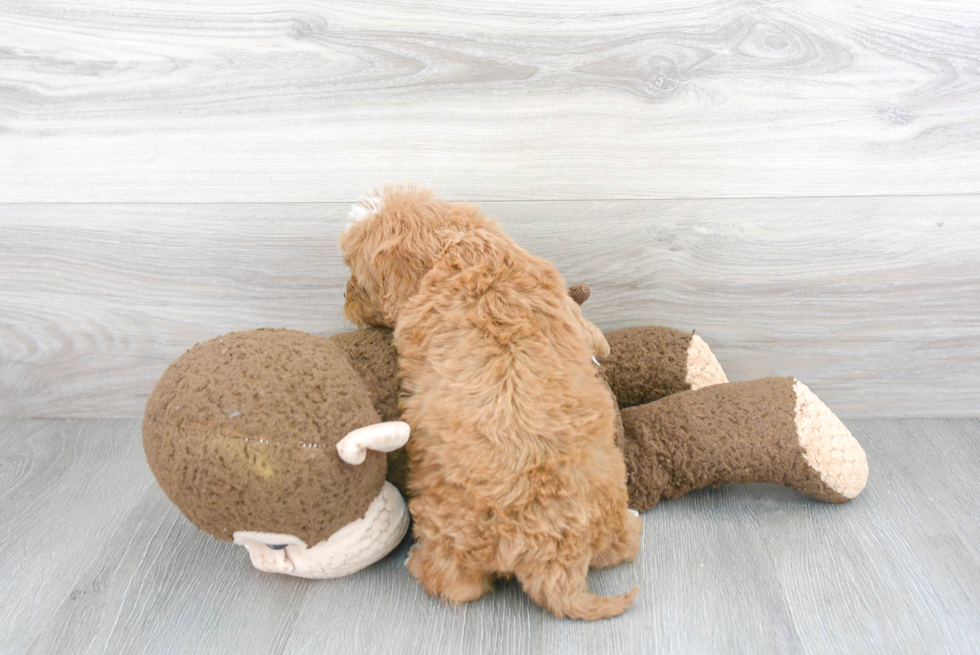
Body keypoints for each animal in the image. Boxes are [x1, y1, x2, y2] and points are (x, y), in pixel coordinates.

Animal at [338, 184, 644, 620]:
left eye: (356, 274)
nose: (343, 297)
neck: (458, 247)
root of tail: (558, 563)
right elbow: (588, 329)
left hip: (446, 527)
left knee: (457, 584)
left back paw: (418, 564)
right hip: (608, 501)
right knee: (622, 546)